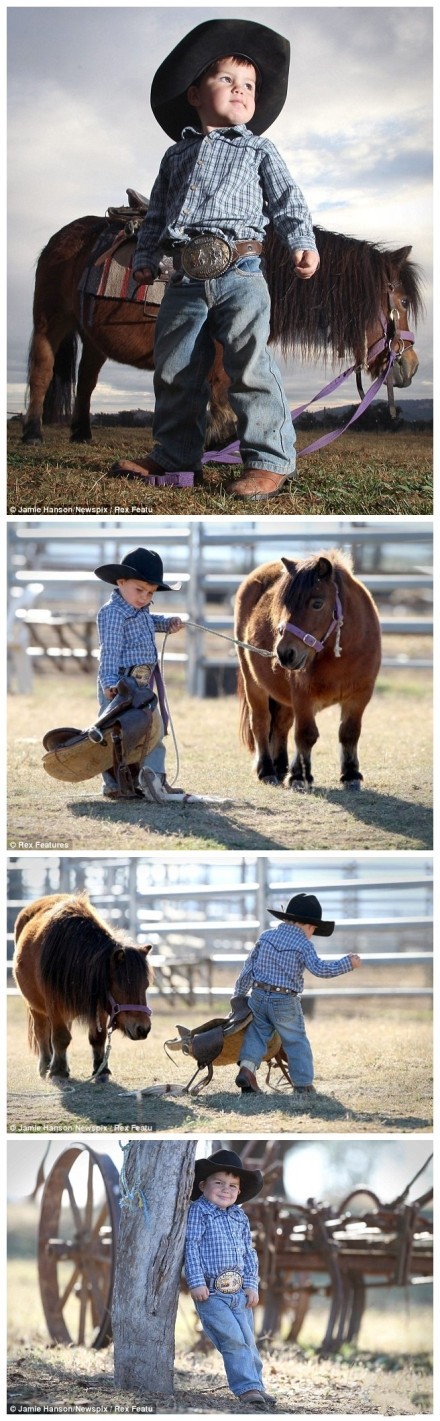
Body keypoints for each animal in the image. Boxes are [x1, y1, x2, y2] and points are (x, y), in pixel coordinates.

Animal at [12, 892, 154, 1079]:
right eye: (121, 987)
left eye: (146, 985)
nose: (143, 1029)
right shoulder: (54, 1005)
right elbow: (60, 1037)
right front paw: (58, 1070)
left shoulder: (100, 1006)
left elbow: (98, 1037)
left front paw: (101, 1068)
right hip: (35, 1005)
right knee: (41, 1031)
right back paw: (45, 1066)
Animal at [22, 218, 420, 443]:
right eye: (401, 302)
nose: (411, 365)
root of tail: (61, 238)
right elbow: (222, 394)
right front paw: (218, 440)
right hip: (50, 320)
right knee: (42, 371)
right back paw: (33, 433)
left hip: (93, 338)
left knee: (86, 382)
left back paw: (81, 434)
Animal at [234, 548, 380, 790]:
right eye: (284, 604)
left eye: (317, 603)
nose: (284, 653)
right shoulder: (303, 695)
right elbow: (306, 734)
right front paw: (300, 776)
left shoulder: (360, 695)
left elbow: (349, 733)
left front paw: (351, 774)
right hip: (253, 683)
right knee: (261, 722)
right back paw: (267, 770)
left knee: (281, 725)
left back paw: (280, 766)